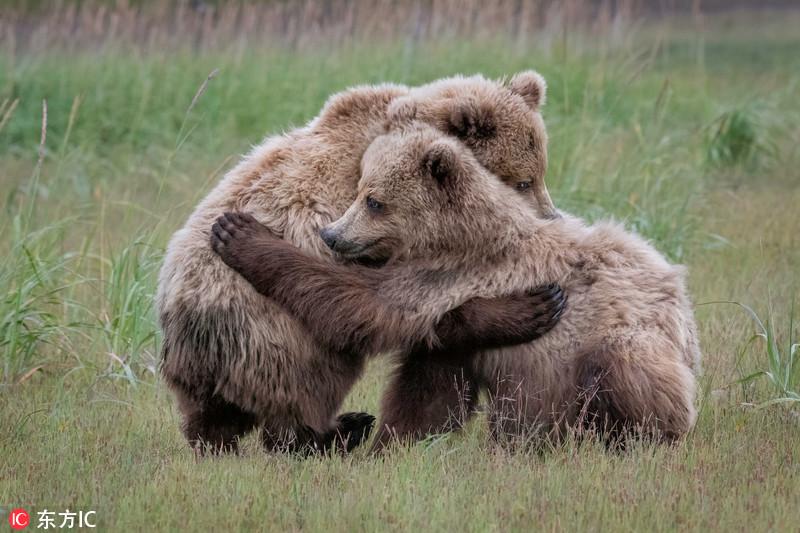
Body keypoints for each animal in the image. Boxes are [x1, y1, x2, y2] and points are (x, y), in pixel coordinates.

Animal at [156, 70, 564, 454]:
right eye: (525, 181)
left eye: (540, 170)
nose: (551, 217)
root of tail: (191, 327)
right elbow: (396, 305)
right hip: (275, 335)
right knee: (308, 387)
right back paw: (334, 431)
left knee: (210, 420)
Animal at [211, 119, 700, 444]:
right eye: (360, 191)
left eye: (374, 201)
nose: (332, 235)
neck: (451, 237)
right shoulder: (452, 328)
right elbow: (428, 389)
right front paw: (393, 441)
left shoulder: (450, 273)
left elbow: (359, 304)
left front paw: (240, 235)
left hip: (626, 346)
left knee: (626, 371)